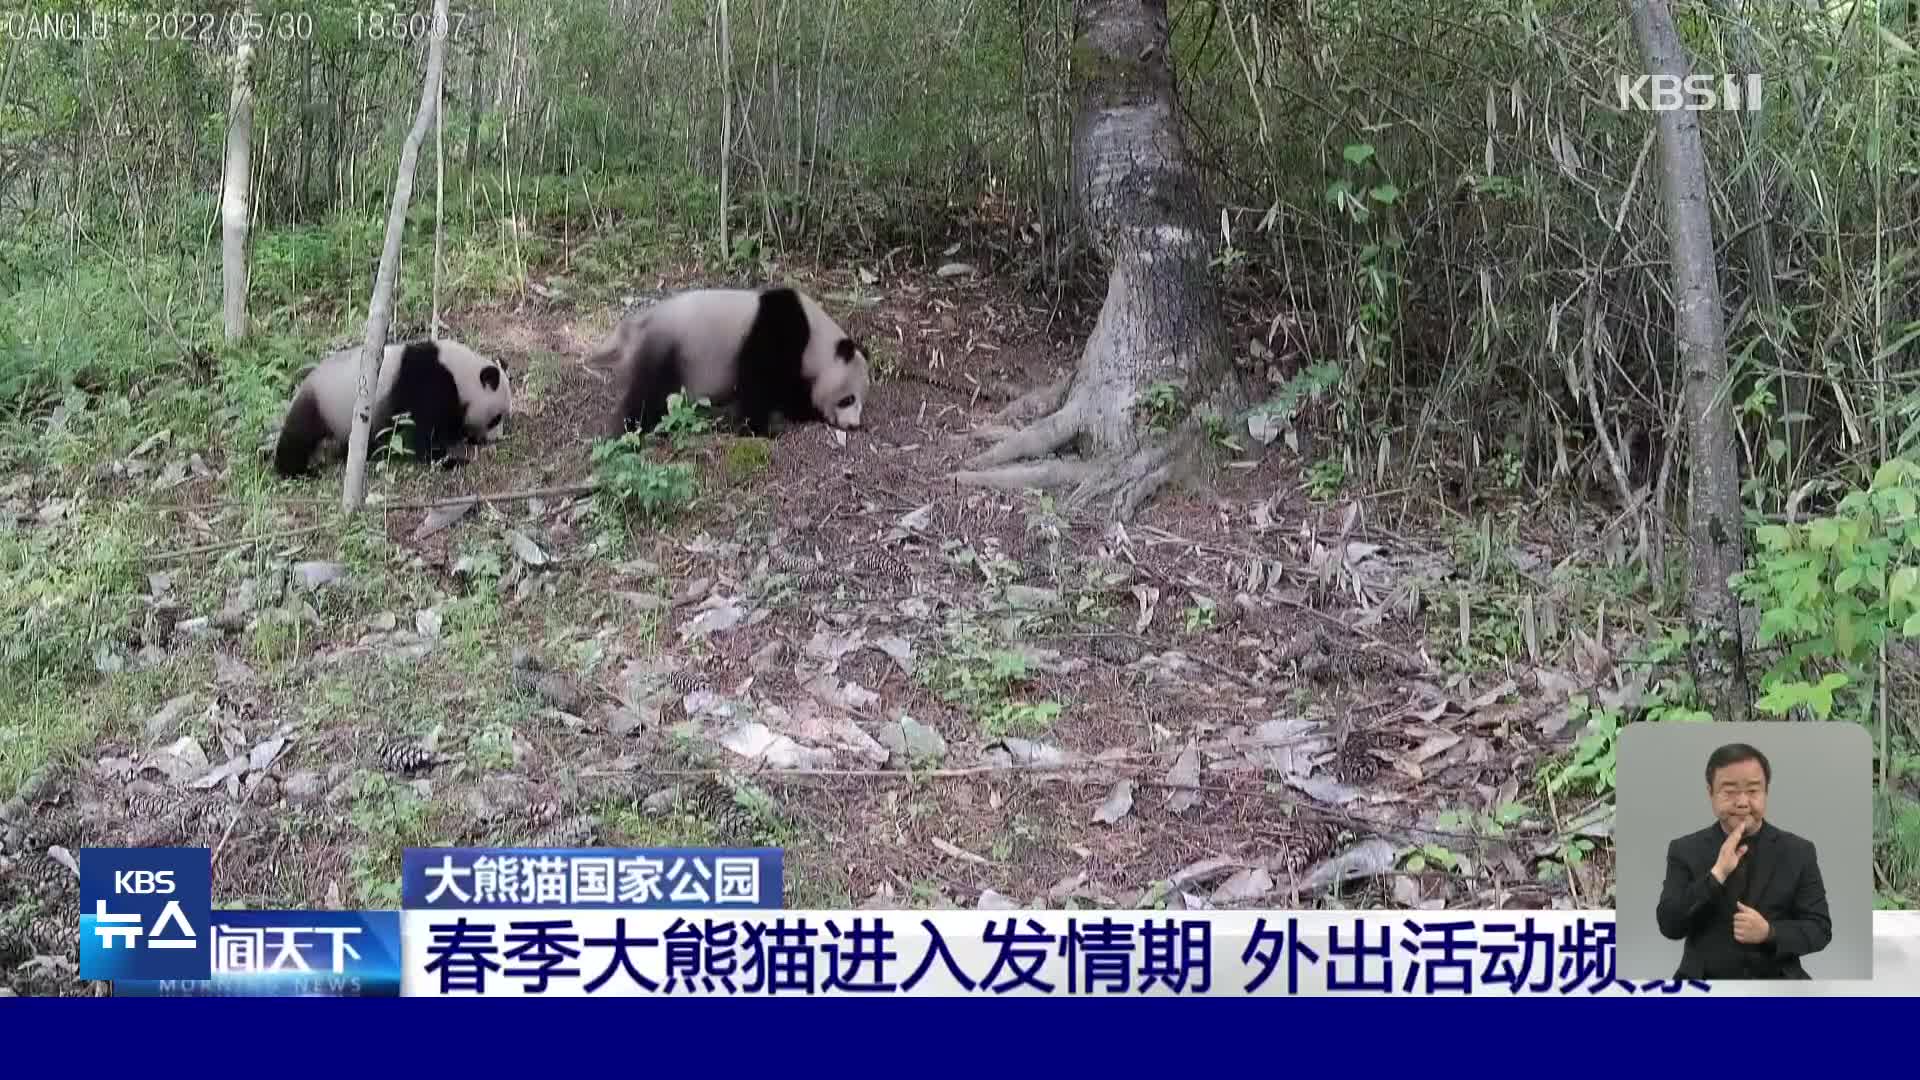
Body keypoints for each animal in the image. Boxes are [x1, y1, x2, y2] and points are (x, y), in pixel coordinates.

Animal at [272, 334, 510, 472]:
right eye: (496, 418)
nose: (496, 438)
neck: (459, 372)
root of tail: (304, 382)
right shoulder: (428, 386)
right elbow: (422, 433)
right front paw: (448, 459)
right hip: (320, 403)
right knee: (299, 435)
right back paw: (295, 470)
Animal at [591, 286, 871, 441]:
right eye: (848, 399)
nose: (854, 425)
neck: (816, 337)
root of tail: (632, 328)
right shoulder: (776, 331)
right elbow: (761, 382)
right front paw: (763, 428)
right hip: (667, 349)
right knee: (648, 393)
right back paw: (628, 432)